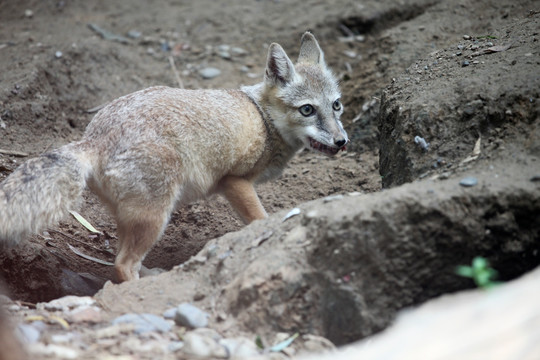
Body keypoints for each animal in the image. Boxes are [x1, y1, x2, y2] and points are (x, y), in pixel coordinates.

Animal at [0, 32, 348, 282]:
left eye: (337, 105)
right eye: (307, 110)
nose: (342, 141)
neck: (263, 119)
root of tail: (94, 139)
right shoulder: (235, 182)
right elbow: (261, 220)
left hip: (134, 218)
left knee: (121, 257)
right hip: (156, 217)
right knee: (123, 265)